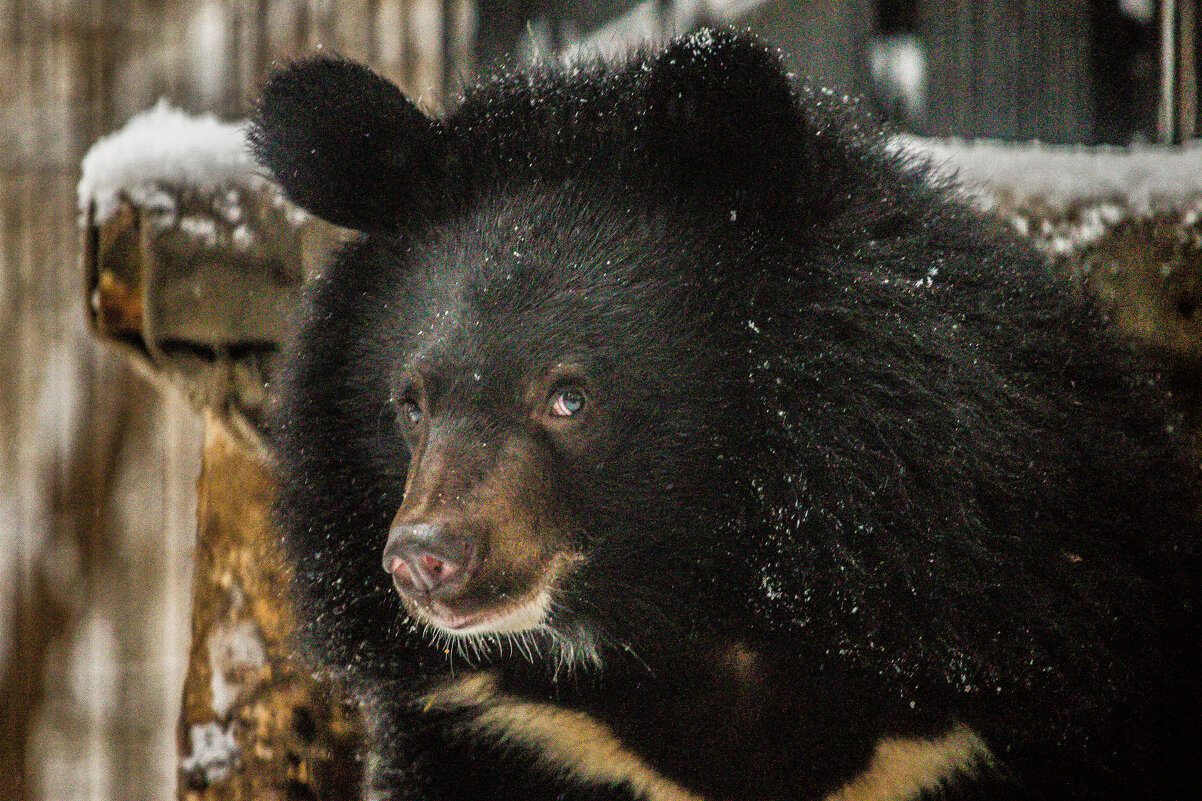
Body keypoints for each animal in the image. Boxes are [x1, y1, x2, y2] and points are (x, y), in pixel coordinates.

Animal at [248, 28, 1197, 798]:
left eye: (569, 397)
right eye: (412, 405)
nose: (425, 559)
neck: (701, 607)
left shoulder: (1006, 684)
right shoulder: (513, 728)